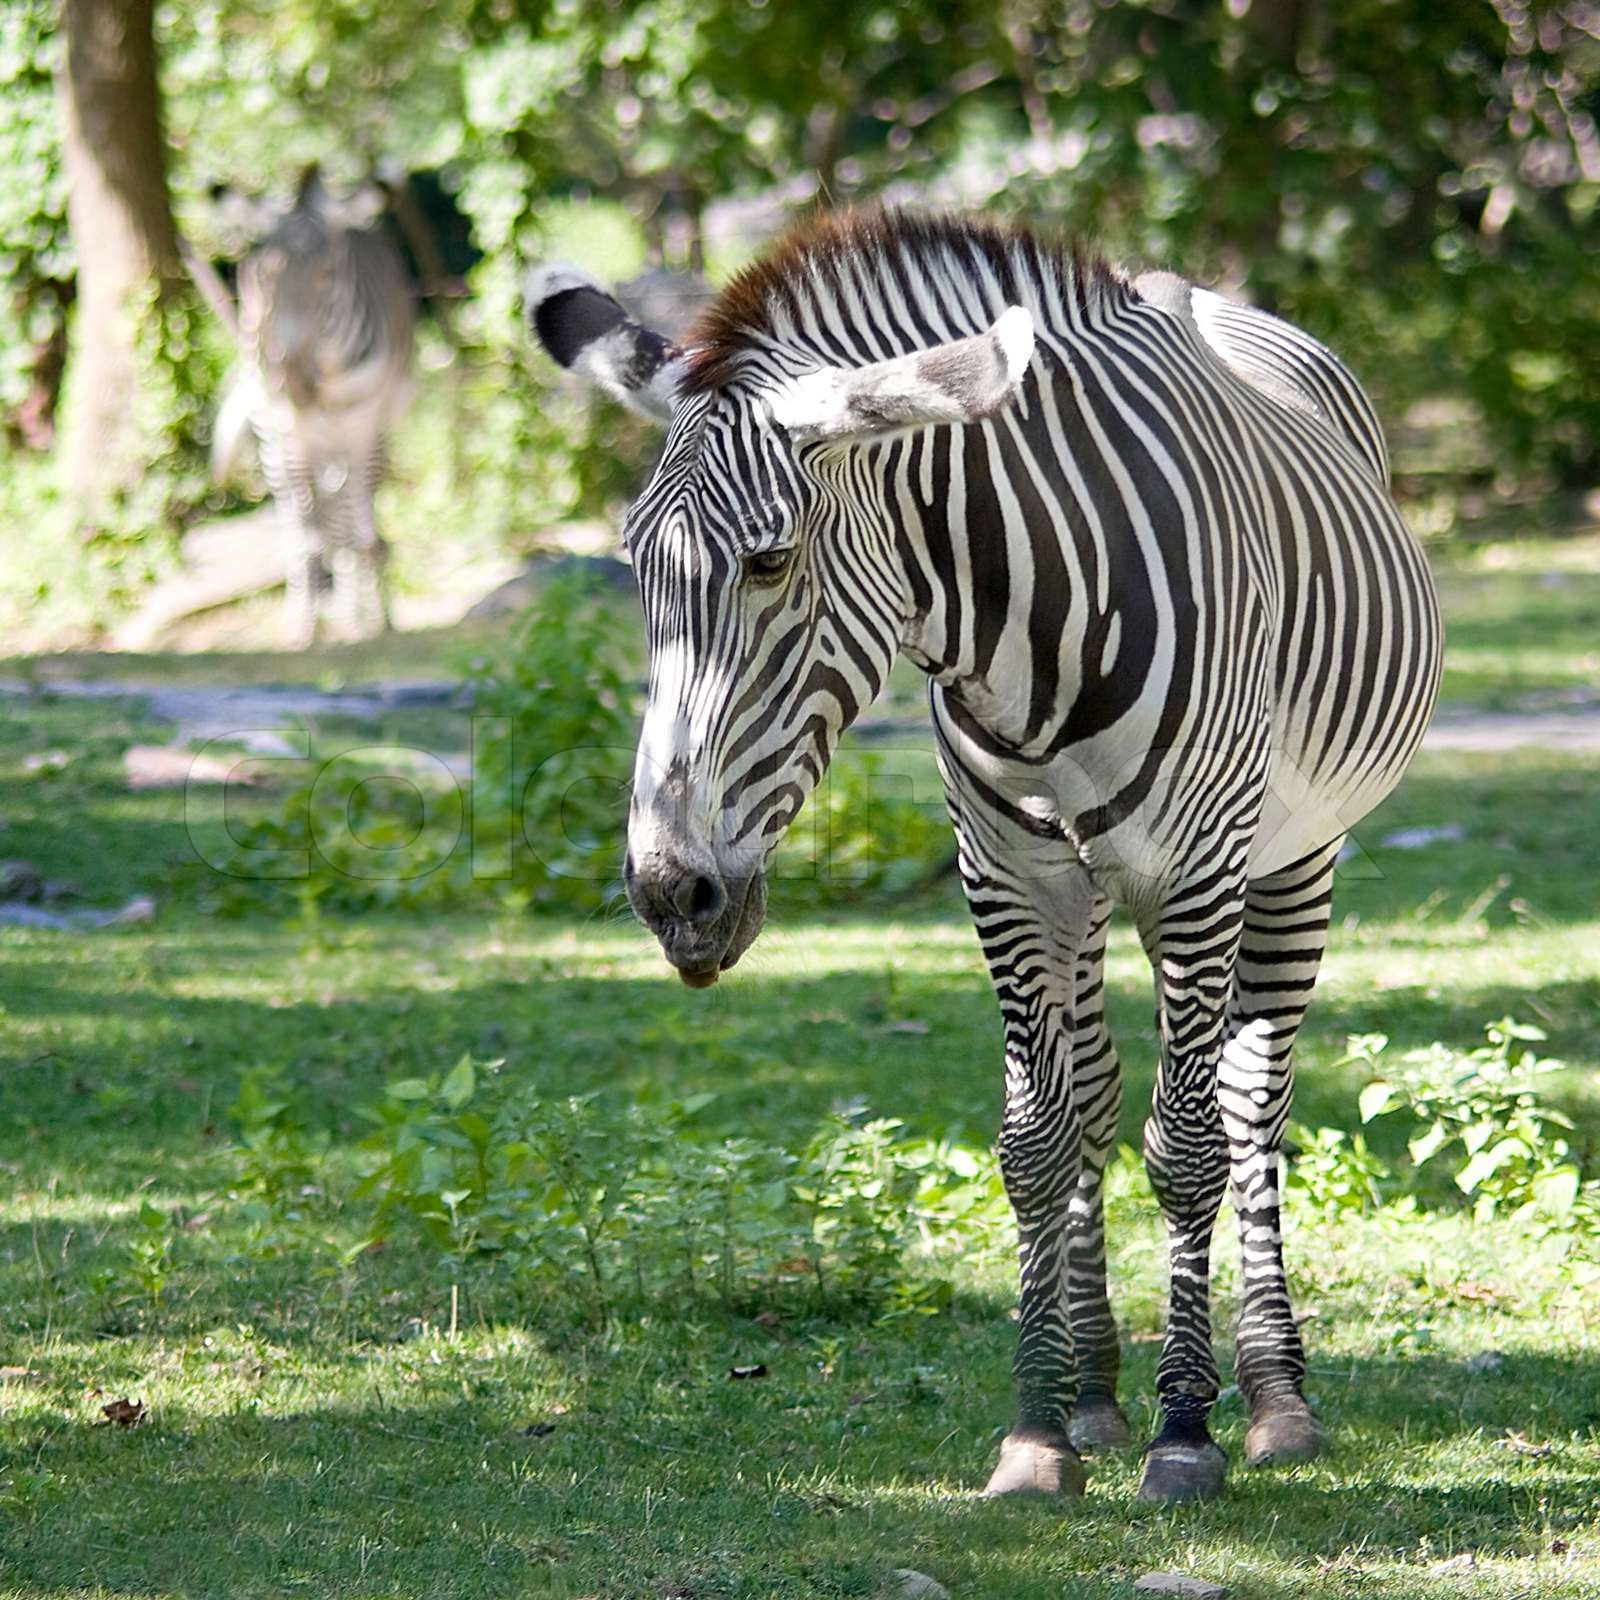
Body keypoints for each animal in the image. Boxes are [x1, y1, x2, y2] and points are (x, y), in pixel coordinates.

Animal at [213, 169, 415, 646]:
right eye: (263, 276)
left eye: (327, 274)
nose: (293, 382)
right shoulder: (288, 430)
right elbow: (307, 534)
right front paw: (305, 628)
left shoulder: (361, 424)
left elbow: (352, 528)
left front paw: (357, 624)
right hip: (273, 435)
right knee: (300, 518)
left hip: (366, 432)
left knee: (355, 513)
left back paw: (372, 609)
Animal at [526, 211, 1441, 1504]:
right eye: (633, 567)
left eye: (768, 562)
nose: (671, 897)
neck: (1023, 632)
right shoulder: (1005, 877)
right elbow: (1035, 1142)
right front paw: (1040, 1427)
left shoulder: (1196, 870)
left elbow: (1191, 1149)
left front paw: (1186, 1432)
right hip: (1093, 891)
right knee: (1104, 1094)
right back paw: (1102, 1388)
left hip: (1288, 855)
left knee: (1249, 1103)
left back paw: (1274, 1397)